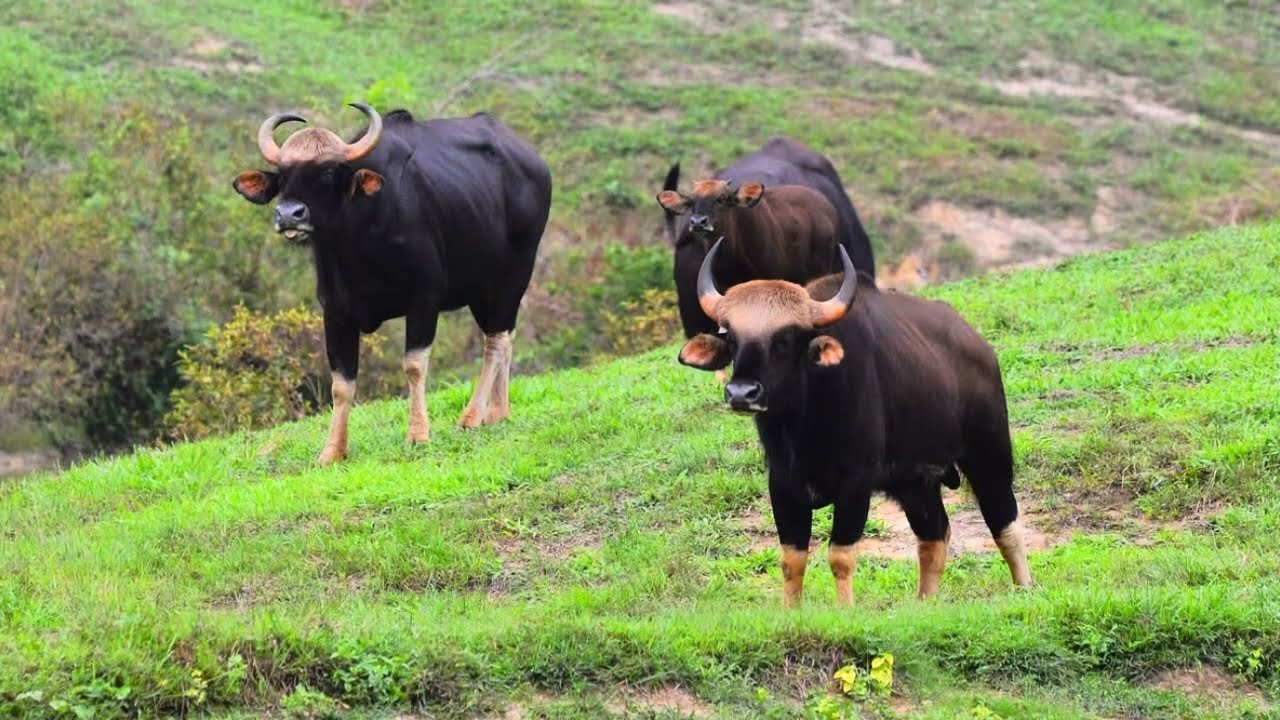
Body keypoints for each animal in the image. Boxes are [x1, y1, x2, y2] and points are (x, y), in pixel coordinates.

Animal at [232, 103, 552, 464]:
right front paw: (332, 451)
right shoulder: (335, 312)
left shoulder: (424, 300)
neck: (358, 247)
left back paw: (471, 416)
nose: (289, 215)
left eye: (327, 173)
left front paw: (418, 434)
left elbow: (414, 365)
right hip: (482, 288)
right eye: (284, 176)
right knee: (504, 336)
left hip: (516, 273)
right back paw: (497, 412)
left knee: (496, 341)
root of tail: (535, 163)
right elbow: (341, 384)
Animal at [677, 239, 1032, 606]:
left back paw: (1024, 588)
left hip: (989, 456)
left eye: (785, 339)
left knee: (1005, 524)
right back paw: (925, 603)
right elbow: (792, 559)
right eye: (732, 338)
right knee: (934, 536)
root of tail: (981, 349)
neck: (803, 428)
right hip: (915, 483)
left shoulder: (856, 483)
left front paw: (845, 610)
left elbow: (841, 556)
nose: (741, 393)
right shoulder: (783, 484)